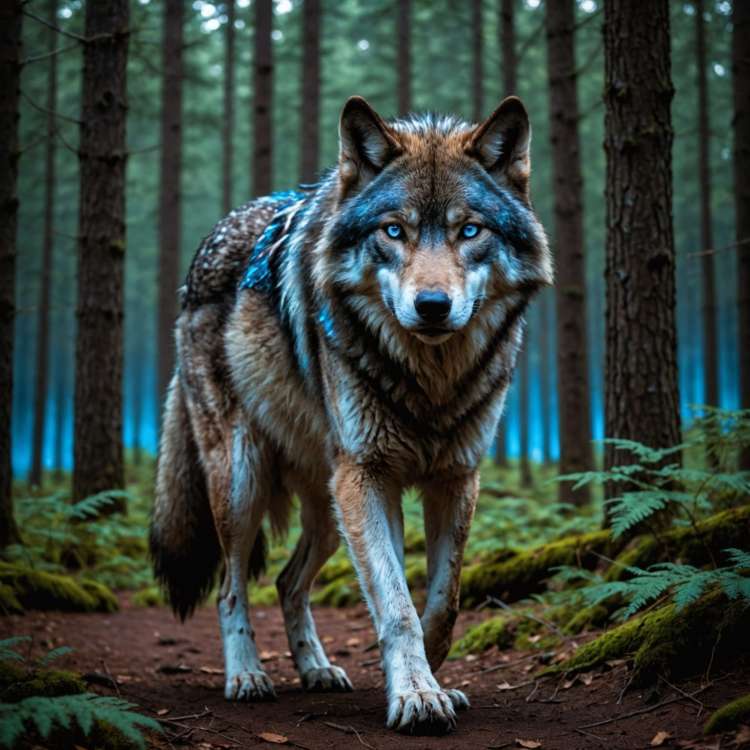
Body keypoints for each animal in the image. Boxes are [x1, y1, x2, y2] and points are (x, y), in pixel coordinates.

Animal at [150, 95, 552, 734]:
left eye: (469, 230)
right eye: (394, 230)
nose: (432, 306)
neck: (429, 382)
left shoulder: (455, 478)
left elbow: (441, 602)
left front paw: (429, 681)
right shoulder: (368, 478)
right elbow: (397, 606)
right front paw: (415, 693)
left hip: (330, 508)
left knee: (288, 582)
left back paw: (316, 669)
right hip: (243, 483)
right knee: (233, 588)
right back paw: (247, 676)